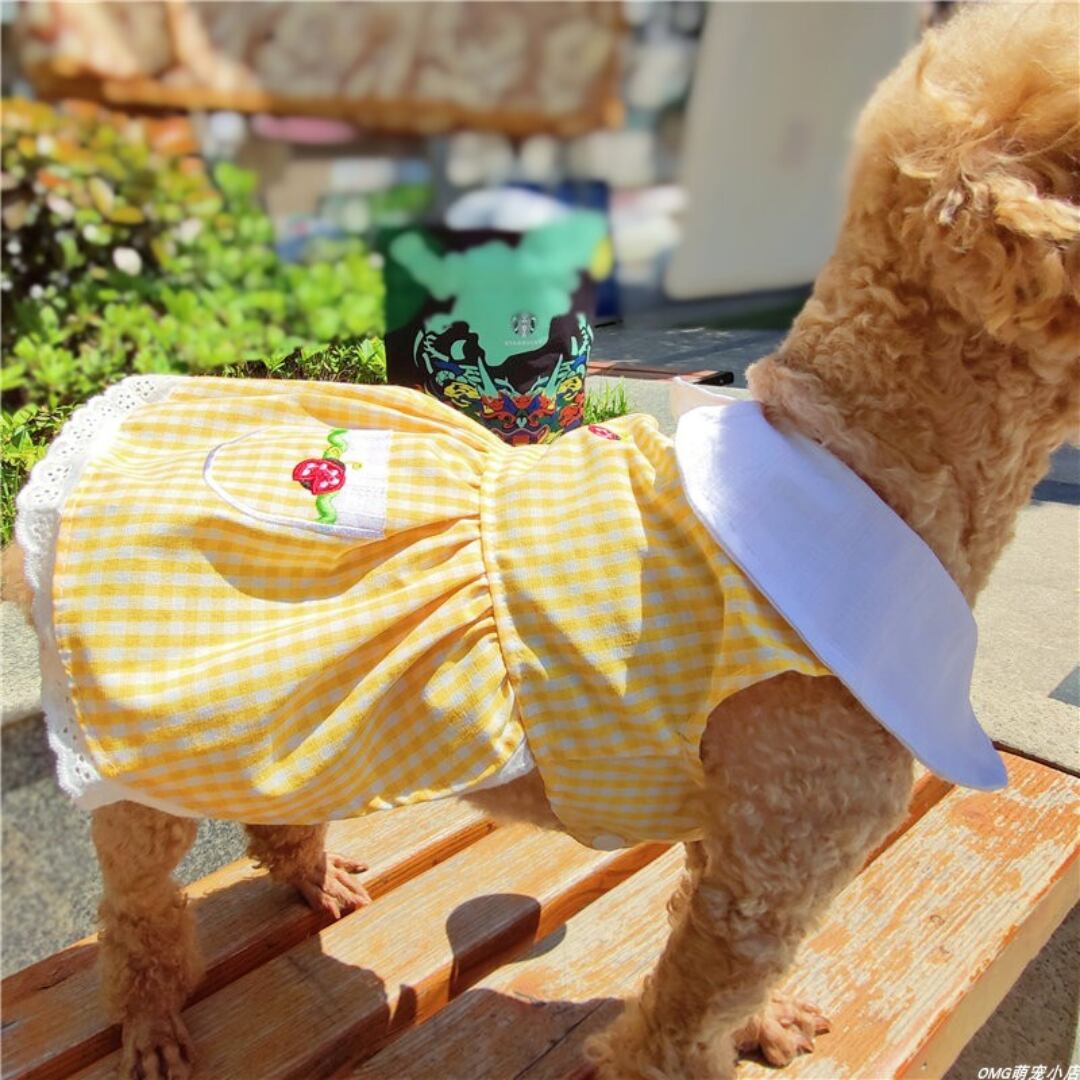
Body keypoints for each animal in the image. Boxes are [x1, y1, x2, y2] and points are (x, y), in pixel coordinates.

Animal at [5, 5, 1078, 1078]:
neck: (864, 459)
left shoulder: (730, 827)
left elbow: (710, 962)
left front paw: (765, 1026)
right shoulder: (775, 859)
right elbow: (683, 1022)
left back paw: (308, 877)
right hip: (135, 748)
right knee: (135, 905)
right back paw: (149, 1020)